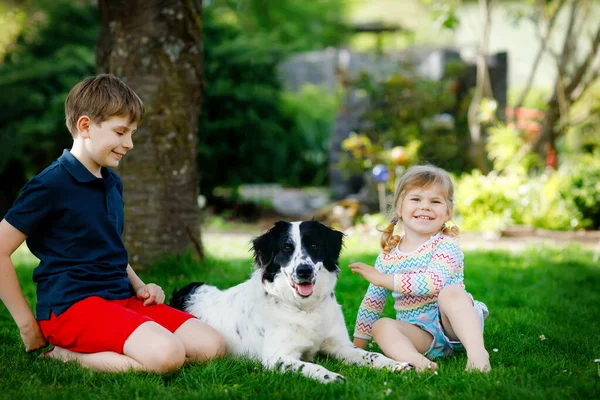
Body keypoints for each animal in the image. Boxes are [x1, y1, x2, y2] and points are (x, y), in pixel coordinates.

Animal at [169, 220, 412, 382]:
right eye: (286, 248)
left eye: (314, 246)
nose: (304, 270)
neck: (304, 309)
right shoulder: (276, 357)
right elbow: (311, 367)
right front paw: (332, 377)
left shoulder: (340, 346)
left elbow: (372, 355)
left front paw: (396, 364)